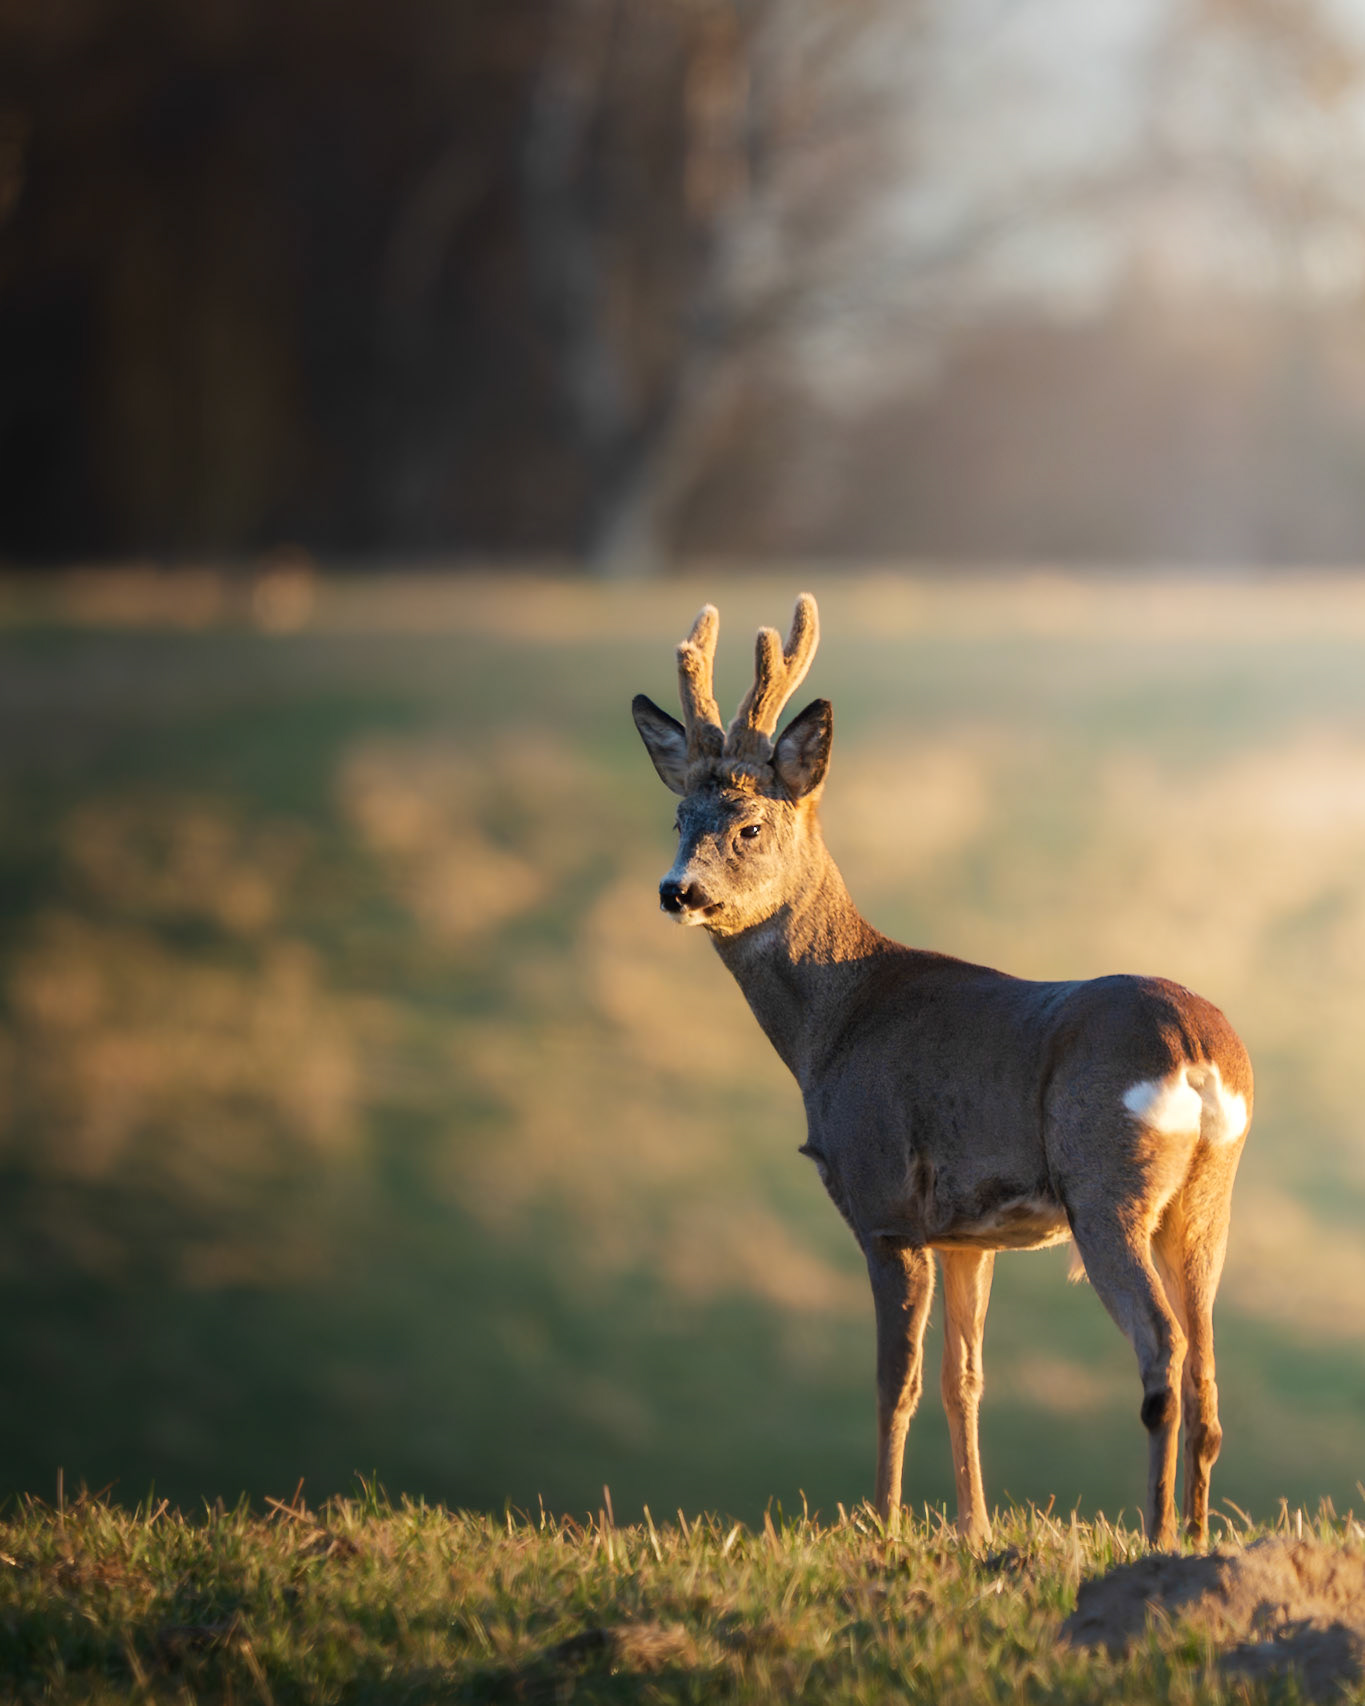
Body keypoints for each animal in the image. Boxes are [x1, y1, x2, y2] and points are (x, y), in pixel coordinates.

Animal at [631, 593, 1252, 1550]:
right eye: (676, 821)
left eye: (749, 825)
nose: (679, 892)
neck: (835, 1023)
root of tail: (1197, 1049)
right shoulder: (966, 1233)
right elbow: (964, 1381)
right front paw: (972, 1530)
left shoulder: (885, 1203)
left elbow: (898, 1382)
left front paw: (881, 1526)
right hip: (1203, 1203)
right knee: (1209, 1372)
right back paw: (1191, 1533)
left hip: (1106, 1184)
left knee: (1163, 1349)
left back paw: (1153, 1536)